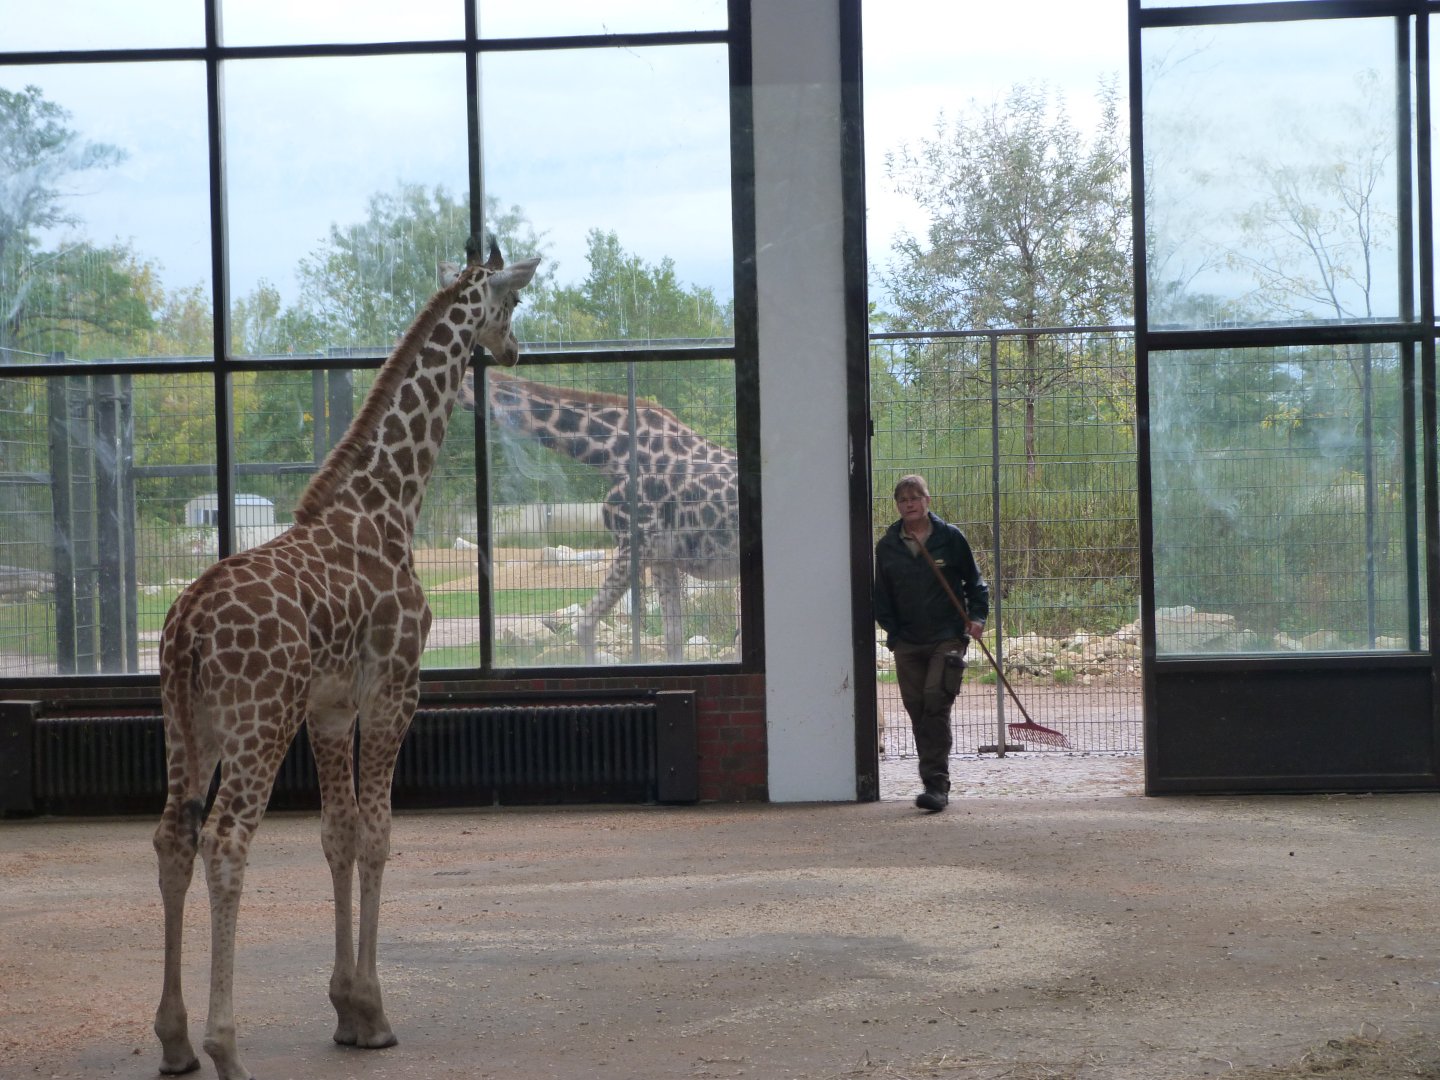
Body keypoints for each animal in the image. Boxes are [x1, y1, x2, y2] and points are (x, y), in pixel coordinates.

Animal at [151, 242, 539, 1080]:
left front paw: (348, 1011)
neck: (390, 506)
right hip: (258, 723)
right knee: (225, 842)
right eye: (511, 304)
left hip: (184, 725)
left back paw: (174, 1040)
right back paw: (226, 1047)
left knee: (172, 839)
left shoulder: (329, 707)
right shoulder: (395, 689)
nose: (515, 351)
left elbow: (338, 833)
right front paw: (375, 1012)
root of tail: (188, 627)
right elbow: (378, 831)